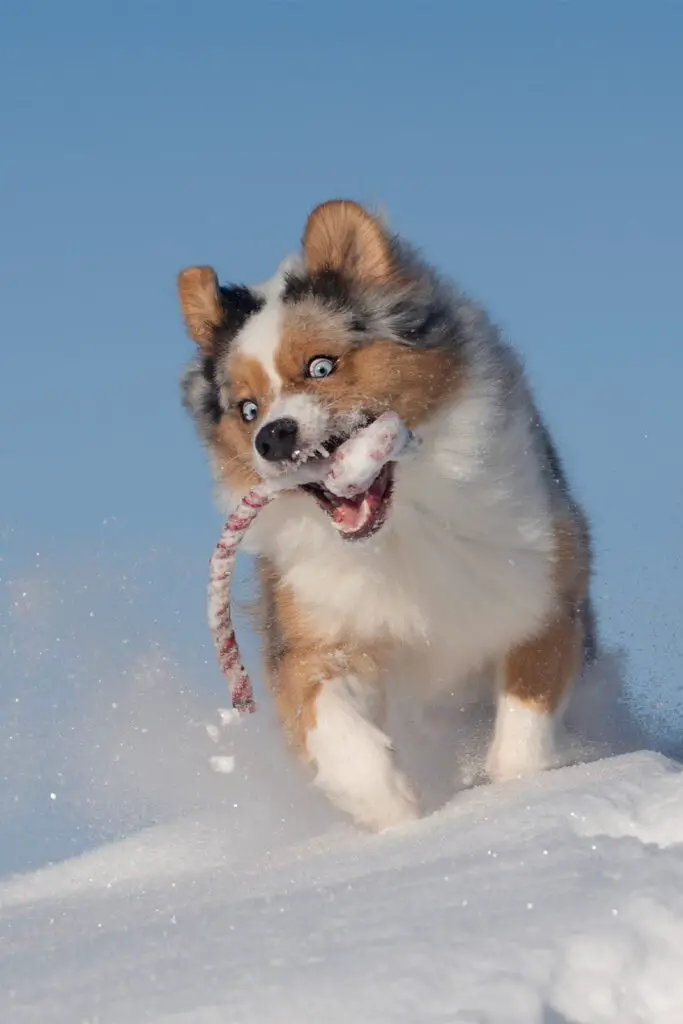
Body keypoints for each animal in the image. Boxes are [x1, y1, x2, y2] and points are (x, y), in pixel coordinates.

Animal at [179, 199, 593, 831]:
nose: (273, 437)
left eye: (321, 367)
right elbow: (333, 724)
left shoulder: (542, 583)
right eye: (247, 410)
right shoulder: (312, 628)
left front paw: (517, 797)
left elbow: (527, 711)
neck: (400, 533)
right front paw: (396, 812)